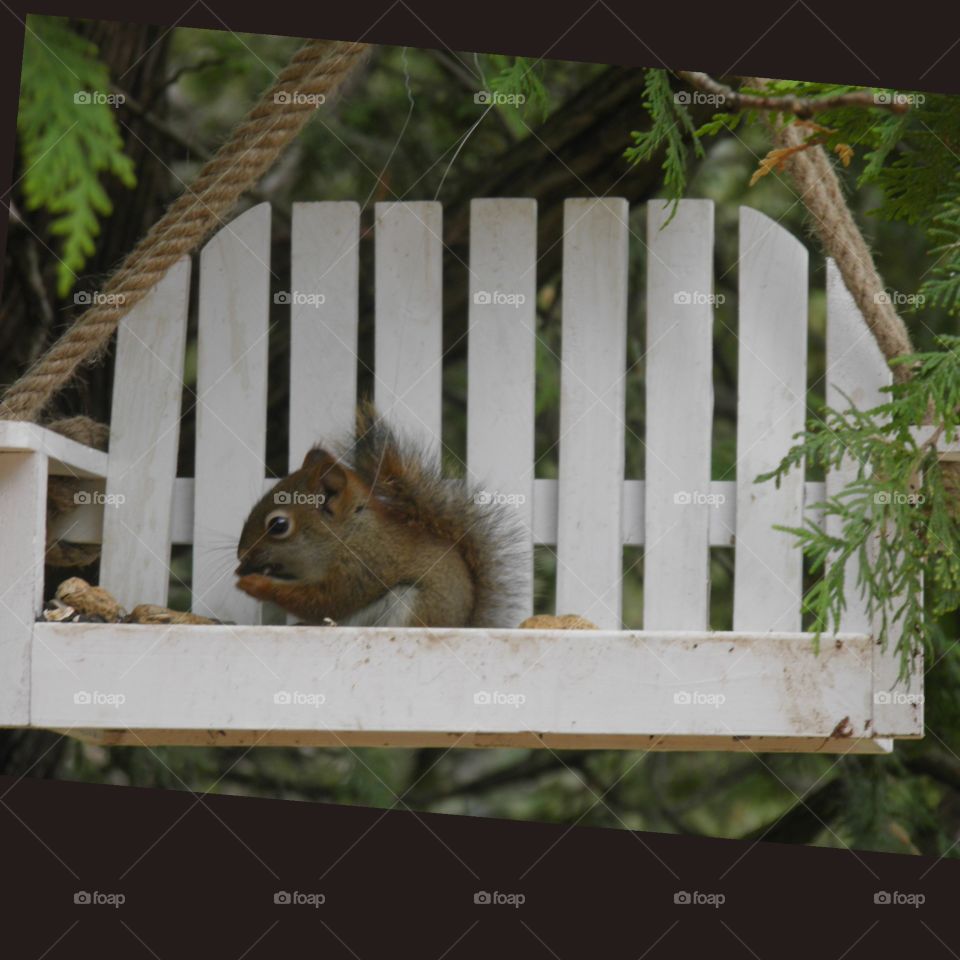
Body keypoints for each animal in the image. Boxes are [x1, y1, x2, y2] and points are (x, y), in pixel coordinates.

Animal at [235, 403, 527, 628]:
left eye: (278, 525)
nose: (241, 555)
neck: (346, 537)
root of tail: (464, 625)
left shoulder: (363, 567)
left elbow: (326, 601)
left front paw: (255, 583)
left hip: (412, 606)